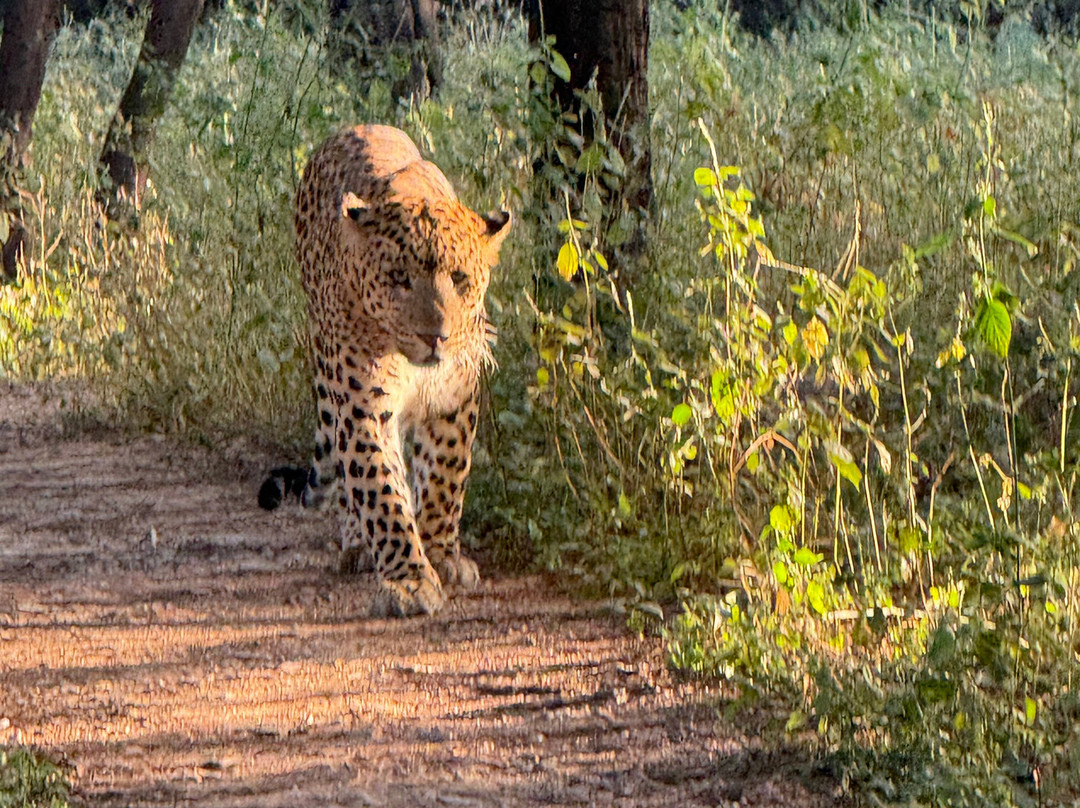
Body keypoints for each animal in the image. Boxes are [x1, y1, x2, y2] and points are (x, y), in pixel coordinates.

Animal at [263, 124, 510, 617]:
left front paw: (440, 553)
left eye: (460, 278)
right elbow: (381, 490)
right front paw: (410, 580)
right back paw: (357, 545)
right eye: (399, 278)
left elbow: (445, 475)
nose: (436, 336)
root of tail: (354, 128)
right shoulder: (363, 406)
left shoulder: (454, 397)